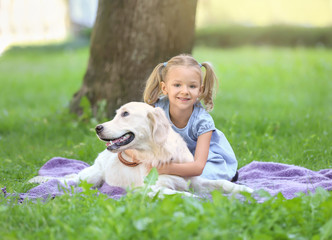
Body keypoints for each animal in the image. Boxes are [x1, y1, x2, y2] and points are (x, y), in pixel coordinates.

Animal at [76, 102, 253, 196]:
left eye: (125, 114)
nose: (97, 128)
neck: (161, 153)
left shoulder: (195, 179)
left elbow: (222, 182)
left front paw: (244, 189)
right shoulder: (152, 188)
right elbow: (180, 193)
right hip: (92, 176)